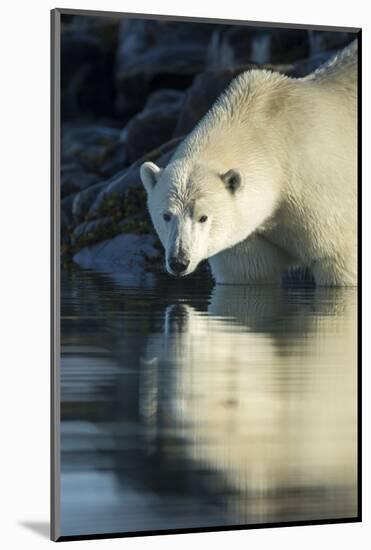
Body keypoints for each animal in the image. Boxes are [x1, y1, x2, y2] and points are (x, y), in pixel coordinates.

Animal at [140, 41, 358, 286]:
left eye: (203, 217)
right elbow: (249, 272)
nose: (179, 262)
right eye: (166, 215)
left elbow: (337, 262)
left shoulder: (325, 203)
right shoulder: (248, 238)